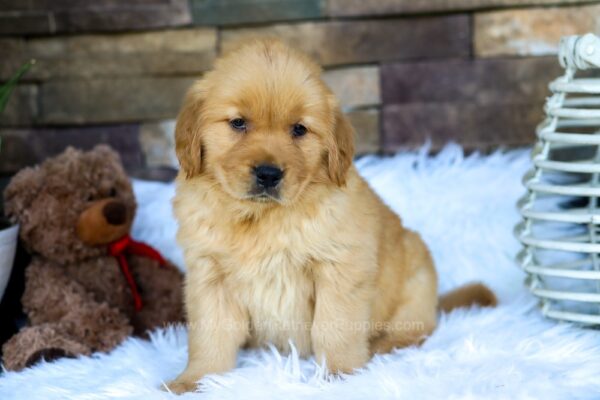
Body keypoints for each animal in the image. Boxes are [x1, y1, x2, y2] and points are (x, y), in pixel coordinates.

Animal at [166, 39, 494, 392]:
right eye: (238, 123)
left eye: (299, 129)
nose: (268, 174)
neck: (263, 218)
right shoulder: (209, 276)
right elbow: (209, 337)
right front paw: (194, 381)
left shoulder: (340, 268)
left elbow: (335, 327)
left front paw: (340, 374)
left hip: (418, 276)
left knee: (416, 330)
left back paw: (382, 346)